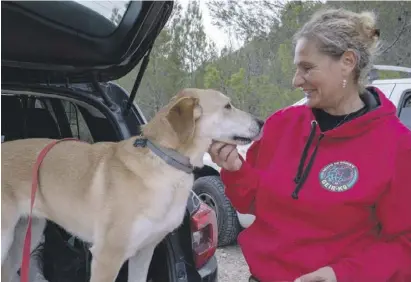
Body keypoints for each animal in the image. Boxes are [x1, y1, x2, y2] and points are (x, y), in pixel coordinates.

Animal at [1, 88, 264, 282]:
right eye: (227, 106)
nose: (262, 121)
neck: (165, 161)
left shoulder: (144, 252)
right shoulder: (107, 256)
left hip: (28, 235)